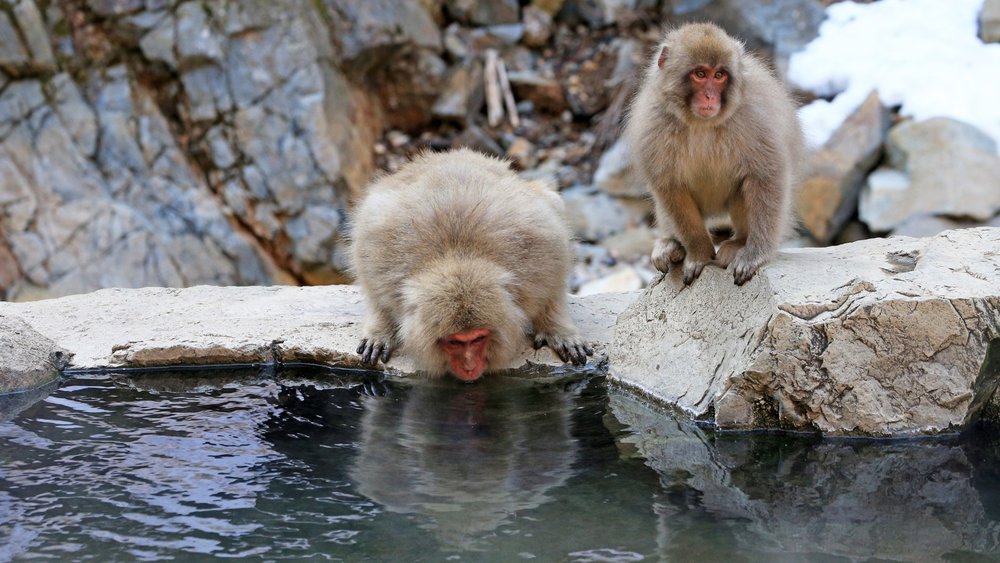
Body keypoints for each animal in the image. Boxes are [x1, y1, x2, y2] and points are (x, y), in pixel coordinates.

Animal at [349, 149, 592, 382]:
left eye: (477, 339)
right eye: (454, 342)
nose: (469, 367)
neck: (458, 258)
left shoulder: (538, 261)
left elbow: (554, 279)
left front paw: (556, 330)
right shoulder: (384, 265)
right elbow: (375, 286)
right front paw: (382, 329)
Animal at [624, 23, 804, 285]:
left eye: (719, 75)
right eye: (700, 74)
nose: (710, 96)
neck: (701, 123)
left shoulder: (754, 118)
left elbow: (766, 175)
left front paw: (755, 253)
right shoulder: (653, 123)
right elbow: (669, 186)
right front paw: (699, 253)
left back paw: (739, 242)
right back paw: (671, 244)